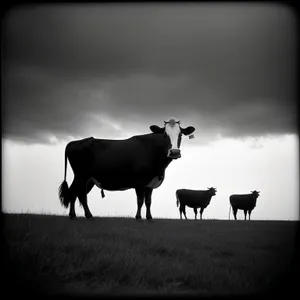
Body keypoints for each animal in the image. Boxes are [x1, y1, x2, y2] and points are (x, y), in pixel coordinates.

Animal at [58, 118, 197, 219]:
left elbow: (148, 201)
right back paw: (84, 215)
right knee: (76, 192)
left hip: (88, 179)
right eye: (164, 135)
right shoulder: (139, 182)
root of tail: (75, 142)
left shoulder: (150, 182)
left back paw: (77, 215)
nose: (174, 152)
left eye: (180, 135)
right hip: (81, 175)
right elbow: (140, 200)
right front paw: (138, 217)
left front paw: (149, 217)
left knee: (77, 192)